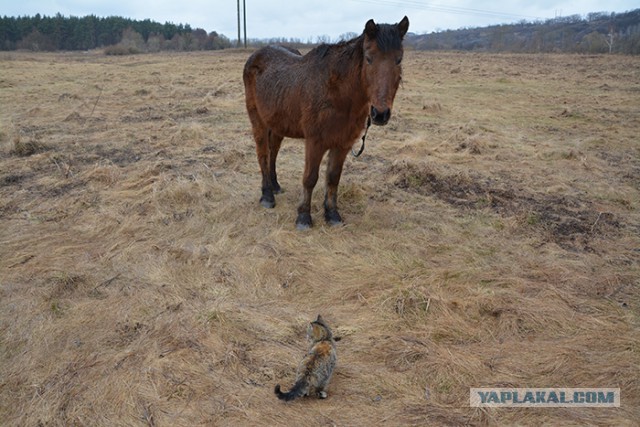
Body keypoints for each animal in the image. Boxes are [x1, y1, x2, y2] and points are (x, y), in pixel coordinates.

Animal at [242, 16, 408, 231]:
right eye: (369, 58)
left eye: (399, 59)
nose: (380, 114)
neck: (337, 93)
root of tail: (255, 56)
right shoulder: (315, 141)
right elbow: (310, 178)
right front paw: (304, 217)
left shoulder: (343, 143)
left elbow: (333, 177)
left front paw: (332, 214)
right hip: (258, 122)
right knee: (263, 154)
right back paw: (267, 196)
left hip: (277, 124)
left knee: (273, 152)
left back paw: (275, 186)